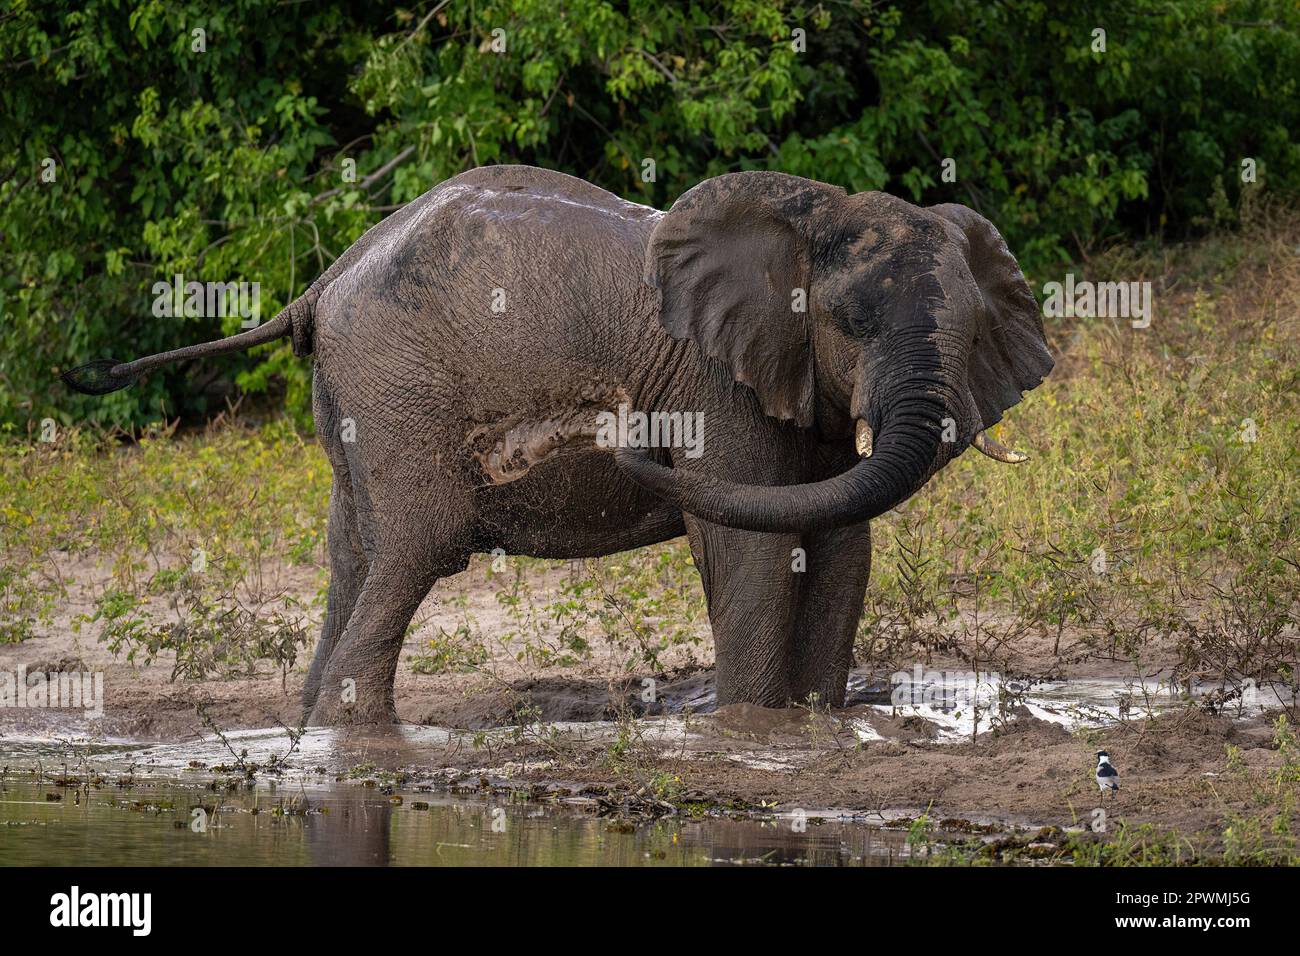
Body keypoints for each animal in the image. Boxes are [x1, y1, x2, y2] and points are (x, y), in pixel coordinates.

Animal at [64, 165, 1053, 726]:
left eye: (973, 333)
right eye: (848, 322)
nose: (618, 423)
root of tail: (321, 282)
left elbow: (844, 548)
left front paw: (817, 727)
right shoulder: (718, 382)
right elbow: (756, 551)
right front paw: (754, 735)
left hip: (356, 396)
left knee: (355, 556)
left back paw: (314, 724)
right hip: (399, 387)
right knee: (416, 549)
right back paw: (354, 740)